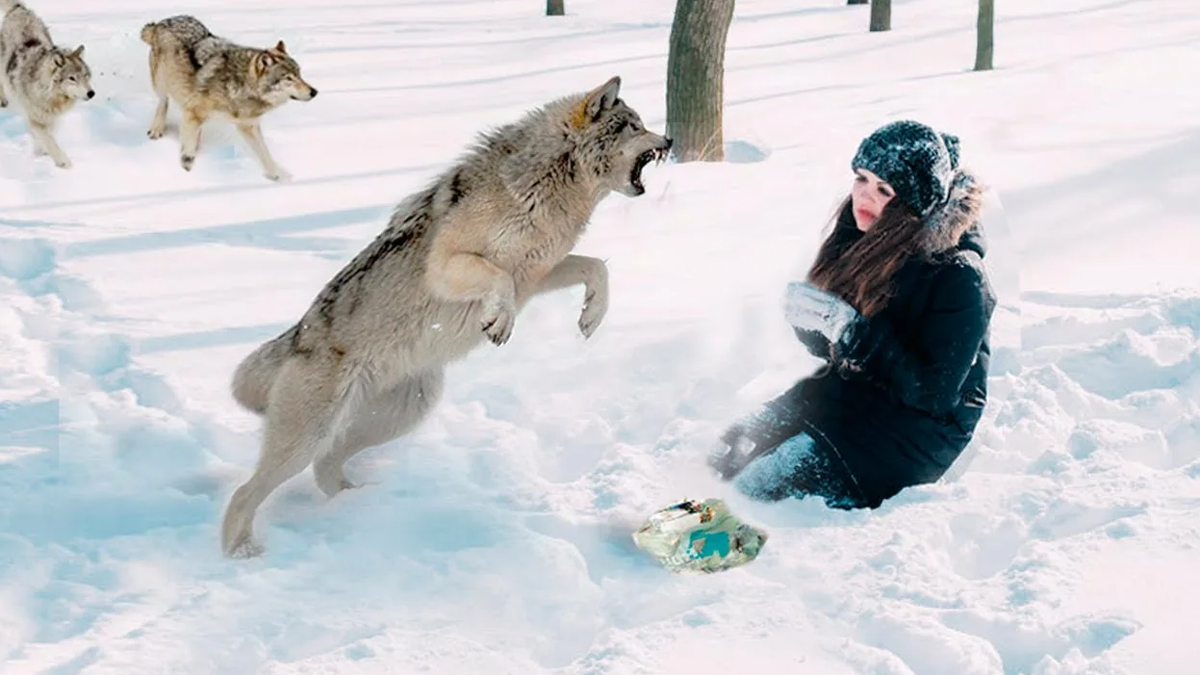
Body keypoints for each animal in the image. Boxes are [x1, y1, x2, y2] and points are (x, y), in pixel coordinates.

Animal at [0, 0, 93, 166]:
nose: (91, 93)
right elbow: (49, 140)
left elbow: (46, 137)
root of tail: (19, 9)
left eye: (85, 76)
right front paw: (63, 162)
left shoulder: (51, 118)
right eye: (72, 78)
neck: (47, 94)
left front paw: (41, 153)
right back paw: (3, 101)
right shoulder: (35, 119)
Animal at [137, 15, 316, 182]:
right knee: (163, 102)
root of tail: (163, 21)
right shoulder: (194, 113)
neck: (240, 84)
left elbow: (265, 154)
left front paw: (280, 177)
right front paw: (187, 174)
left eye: (299, 74)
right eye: (288, 78)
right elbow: (187, 153)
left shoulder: (248, 125)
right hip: (162, 83)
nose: (314, 92)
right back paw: (157, 130)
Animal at [223, 74, 676, 557]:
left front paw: (592, 316)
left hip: (404, 412)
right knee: (245, 492)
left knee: (326, 466)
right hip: (308, 436)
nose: (668, 141)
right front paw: (500, 321)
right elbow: (498, 279)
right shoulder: (450, 267)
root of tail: (299, 335)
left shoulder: (537, 274)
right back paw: (242, 552)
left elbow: (596, 268)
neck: (549, 187)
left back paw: (360, 507)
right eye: (634, 126)